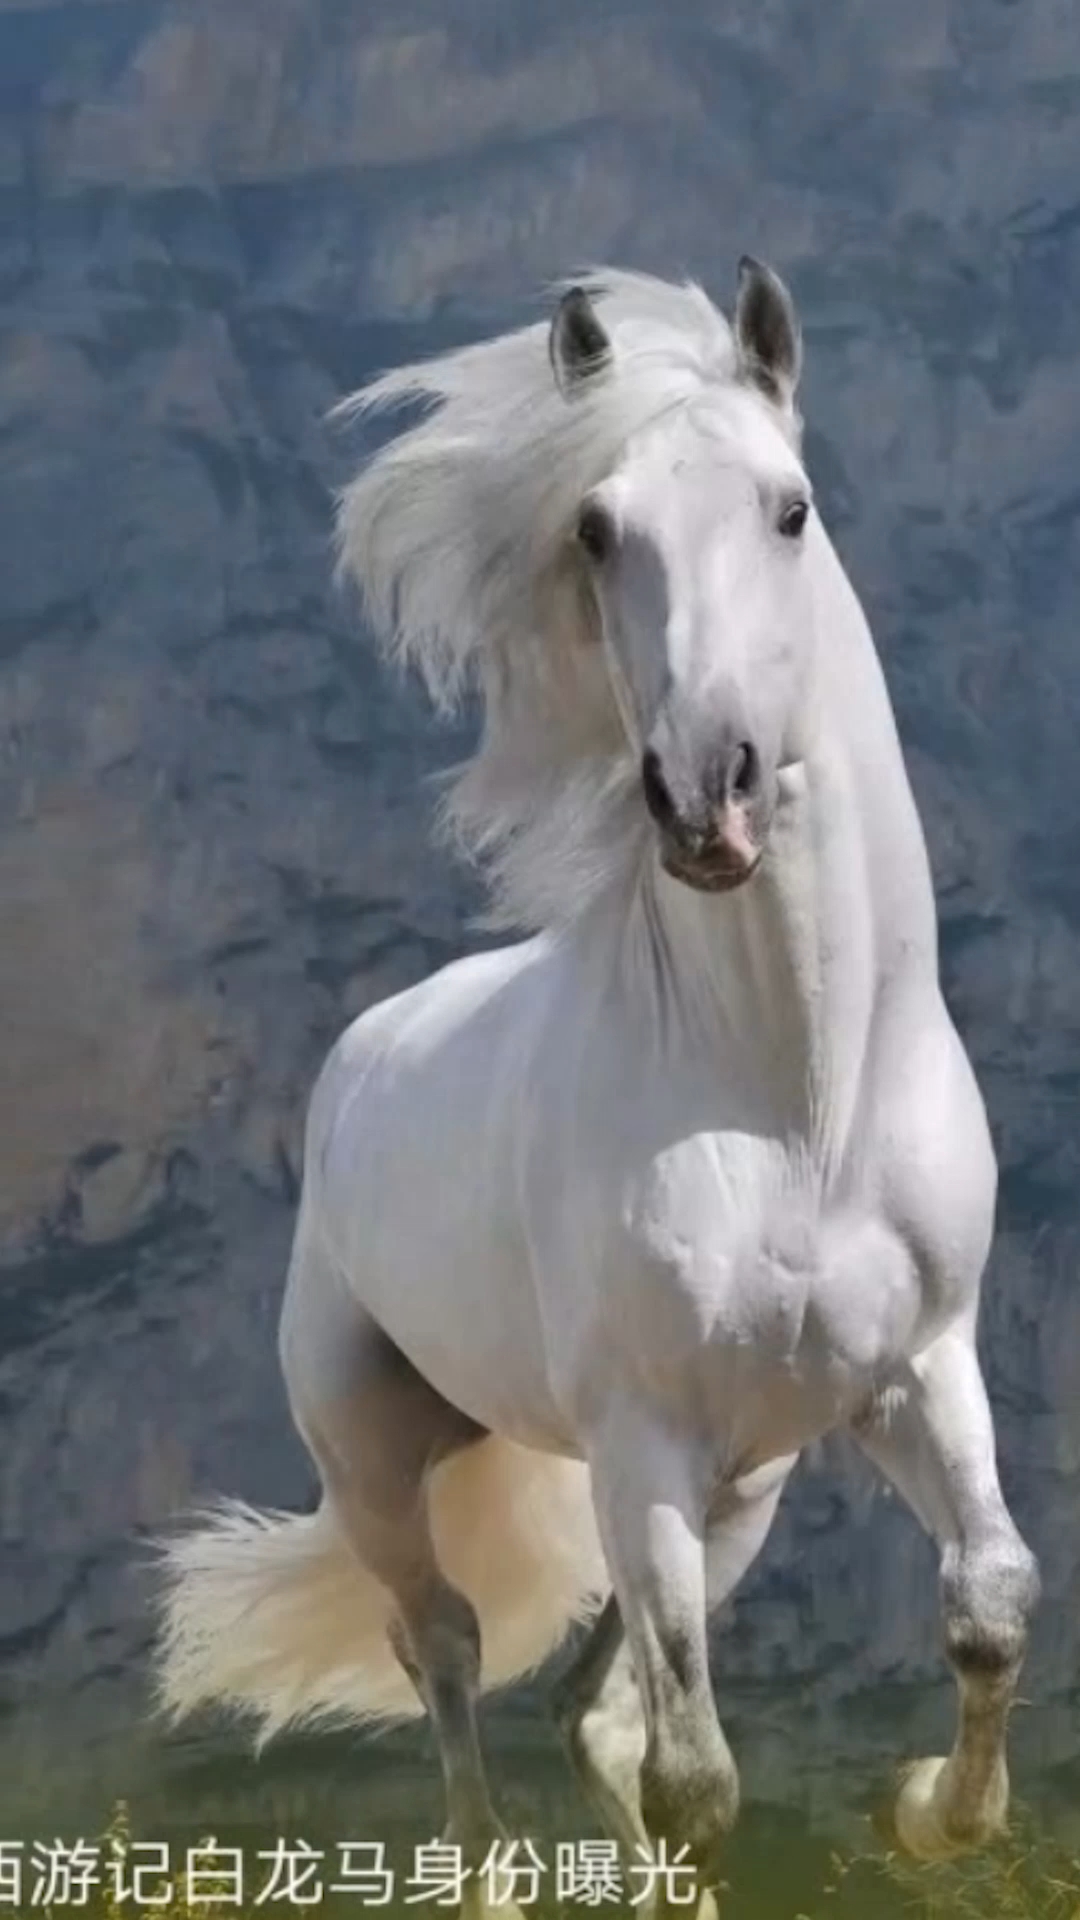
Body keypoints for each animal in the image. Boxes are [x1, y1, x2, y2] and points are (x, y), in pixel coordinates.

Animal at [156, 258, 1039, 1911]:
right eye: (595, 529)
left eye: (790, 508)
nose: (710, 797)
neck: (793, 1107)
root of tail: (360, 1060)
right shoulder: (643, 1445)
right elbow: (699, 1776)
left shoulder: (914, 1369)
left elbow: (991, 1601)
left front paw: (928, 1814)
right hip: (387, 1461)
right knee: (447, 1658)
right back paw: (487, 1873)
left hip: (740, 1494)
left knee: (586, 1707)